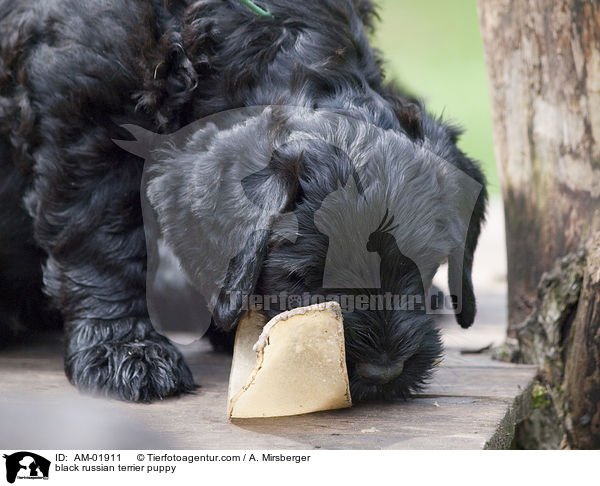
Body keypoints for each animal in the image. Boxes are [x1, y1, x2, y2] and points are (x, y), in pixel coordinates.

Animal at [0, 0, 488, 402]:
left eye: (425, 264)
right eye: (303, 276)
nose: (384, 372)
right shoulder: (87, 117)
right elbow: (101, 236)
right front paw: (125, 350)